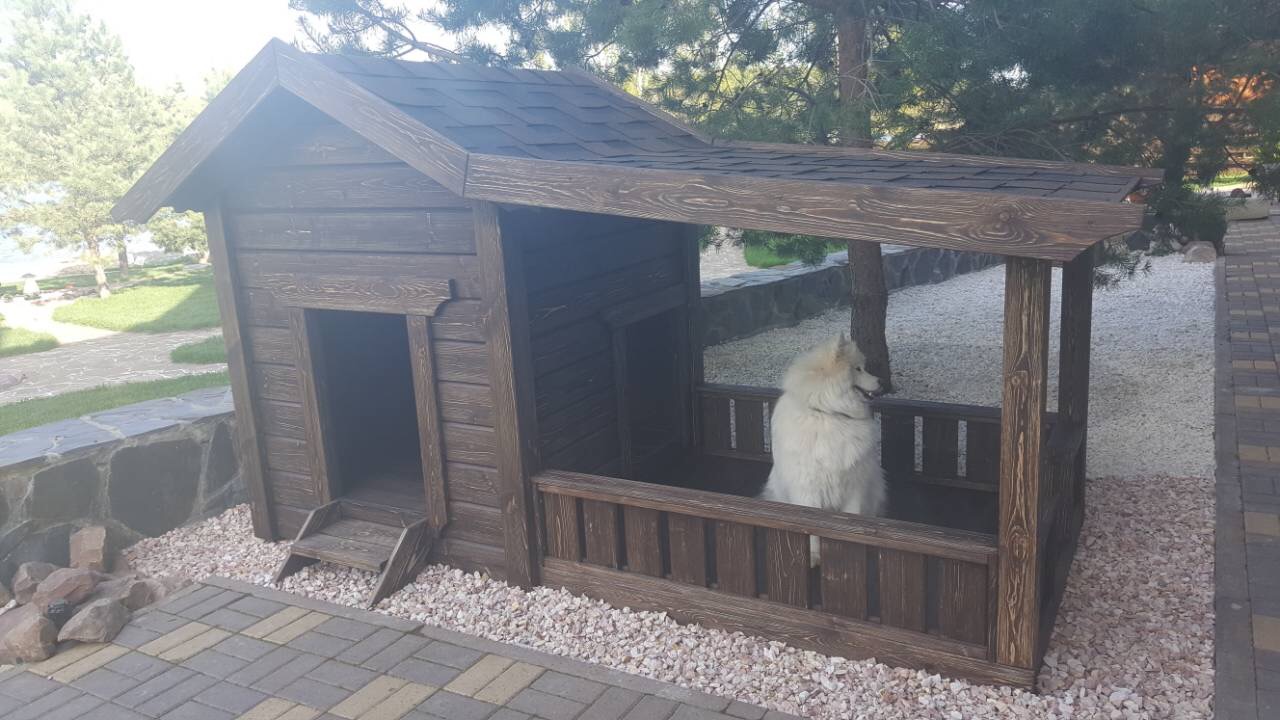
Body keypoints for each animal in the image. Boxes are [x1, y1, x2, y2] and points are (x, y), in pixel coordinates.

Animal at [759, 334, 887, 565]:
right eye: (858, 369)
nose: (882, 381)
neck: (828, 414)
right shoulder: (808, 489)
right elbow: (812, 529)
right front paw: (813, 556)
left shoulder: (854, 486)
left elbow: (853, 518)